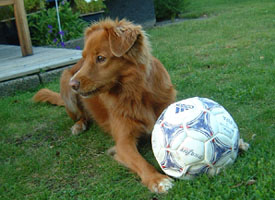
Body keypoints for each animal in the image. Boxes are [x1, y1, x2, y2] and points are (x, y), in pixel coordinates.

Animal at [34, 19, 177, 194]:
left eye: (101, 58)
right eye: (84, 57)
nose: (73, 85)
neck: (135, 93)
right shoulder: (122, 144)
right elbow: (141, 162)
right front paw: (157, 179)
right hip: (66, 87)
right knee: (81, 116)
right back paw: (78, 125)